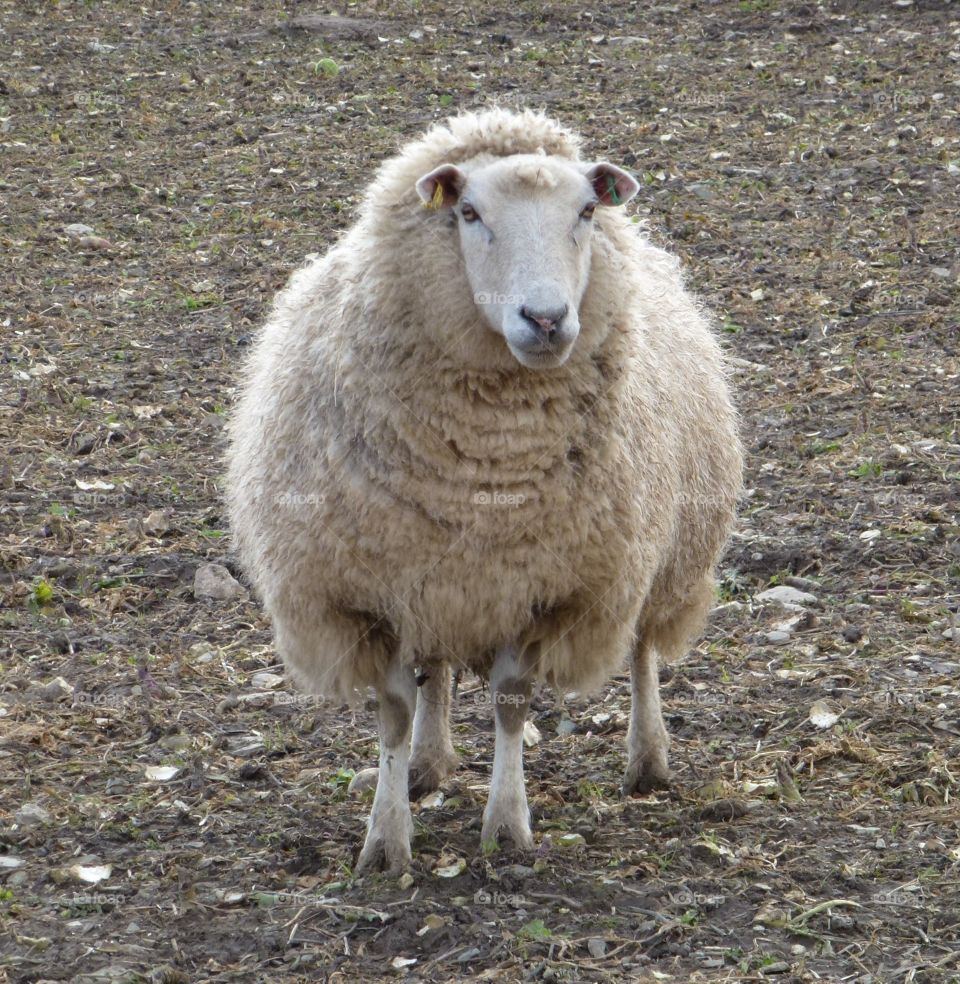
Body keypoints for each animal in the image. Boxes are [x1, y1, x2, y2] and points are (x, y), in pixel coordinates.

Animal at [226, 107, 743, 875]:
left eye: (586, 211)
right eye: (468, 213)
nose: (547, 319)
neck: (484, 473)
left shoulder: (545, 588)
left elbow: (510, 701)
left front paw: (507, 827)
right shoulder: (370, 593)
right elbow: (393, 711)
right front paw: (386, 839)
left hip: (662, 551)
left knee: (644, 646)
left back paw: (647, 758)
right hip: (439, 580)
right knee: (434, 670)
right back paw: (428, 763)